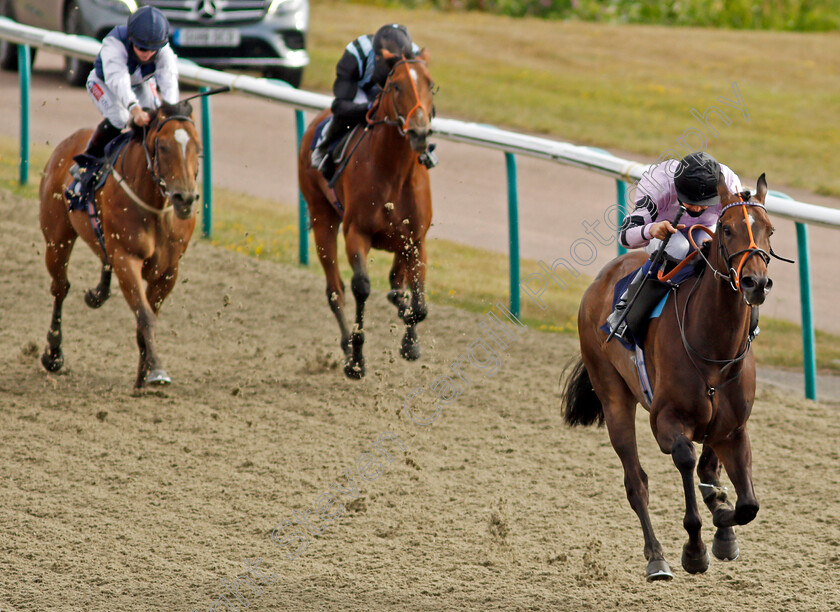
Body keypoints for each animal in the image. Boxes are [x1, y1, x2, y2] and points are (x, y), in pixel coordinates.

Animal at [40, 100, 203, 388]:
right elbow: (145, 316)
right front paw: (157, 370)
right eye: (163, 146)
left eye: (198, 147)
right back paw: (53, 353)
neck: (155, 206)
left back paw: (97, 293)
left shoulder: (168, 271)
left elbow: (147, 317)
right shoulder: (127, 258)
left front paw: (142, 375)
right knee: (60, 287)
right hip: (56, 239)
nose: (184, 198)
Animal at [298, 50, 436, 380]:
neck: (393, 171)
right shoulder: (356, 233)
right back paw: (348, 347)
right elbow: (361, 287)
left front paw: (410, 343)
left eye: (430, 84)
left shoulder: (416, 238)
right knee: (335, 290)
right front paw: (357, 359)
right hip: (322, 217)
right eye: (396, 86)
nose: (420, 132)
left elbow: (419, 303)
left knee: (396, 281)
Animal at [560, 176, 784, 580]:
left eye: (769, 229)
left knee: (706, 468)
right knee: (636, 482)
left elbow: (747, 504)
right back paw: (656, 558)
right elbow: (684, 459)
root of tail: (602, 277)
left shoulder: (733, 429)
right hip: (613, 397)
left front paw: (723, 519)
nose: (755, 283)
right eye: (727, 229)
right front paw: (695, 549)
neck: (714, 349)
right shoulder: (665, 420)